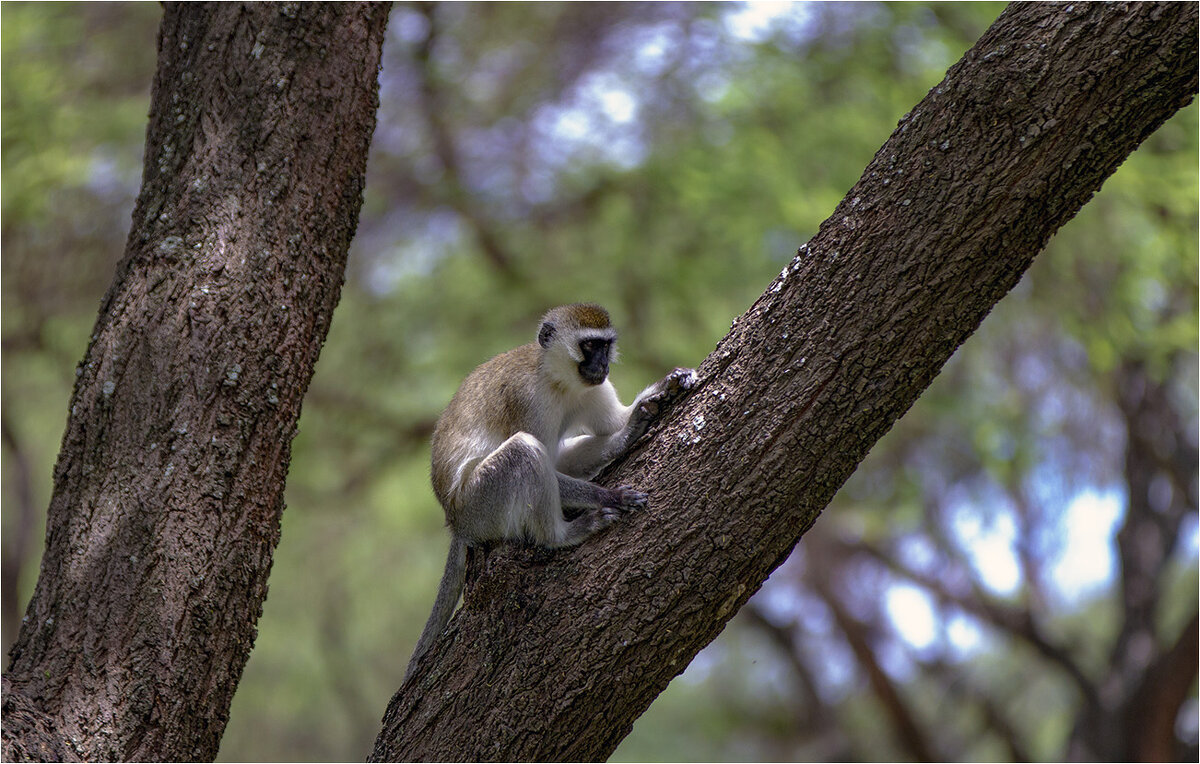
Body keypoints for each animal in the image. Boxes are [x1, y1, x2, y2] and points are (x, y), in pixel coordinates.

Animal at [408, 301, 700, 676]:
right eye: (588, 346)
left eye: (605, 345)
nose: (602, 364)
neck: (557, 379)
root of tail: (454, 520)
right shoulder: (526, 398)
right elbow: (545, 460)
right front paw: (611, 496)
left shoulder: (593, 387)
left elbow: (611, 423)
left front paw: (658, 394)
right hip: (480, 503)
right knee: (526, 452)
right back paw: (562, 535)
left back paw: (629, 434)